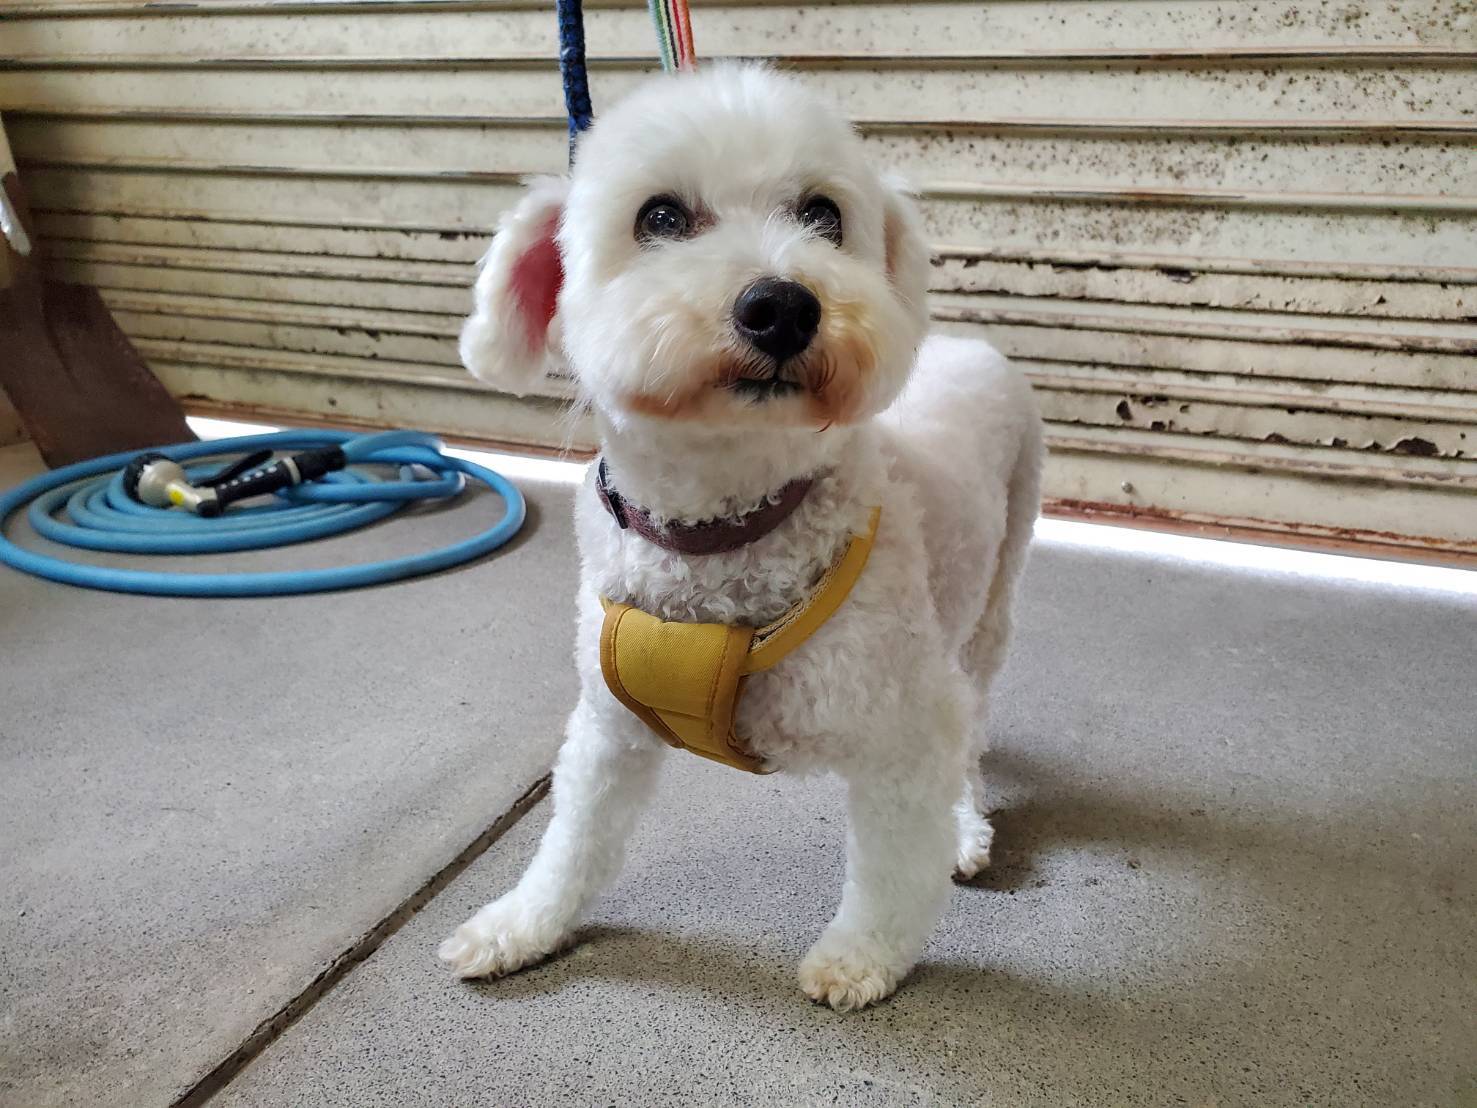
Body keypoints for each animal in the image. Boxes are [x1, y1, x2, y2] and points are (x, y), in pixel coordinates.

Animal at [439, 62, 1043, 1011]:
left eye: (824, 214)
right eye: (659, 217)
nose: (782, 305)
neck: (723, 531)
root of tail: (964, 344)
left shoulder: (907, 730)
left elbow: (890, 875)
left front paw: (860, 959)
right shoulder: (605, 728)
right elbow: (572, 840)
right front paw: (522, 924)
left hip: (988, 603)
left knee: (973, 720)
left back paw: (963, 824)